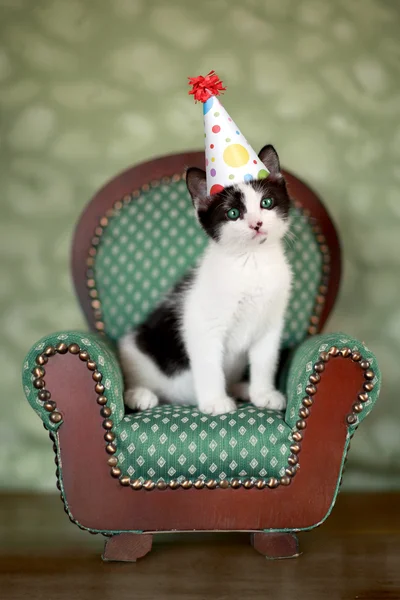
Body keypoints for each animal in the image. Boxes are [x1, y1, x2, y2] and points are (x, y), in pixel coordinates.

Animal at [118, 146, 290, 418]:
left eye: (267, 203)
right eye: (233, 213)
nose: (257, 224)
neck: (251, 262)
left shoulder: (270, 325)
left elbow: (265, 361)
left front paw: (263, 394)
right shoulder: (202, 325)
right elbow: (209, 365)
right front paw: (216, 402)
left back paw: (241, 388)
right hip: (135, 348)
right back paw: (139, 395)